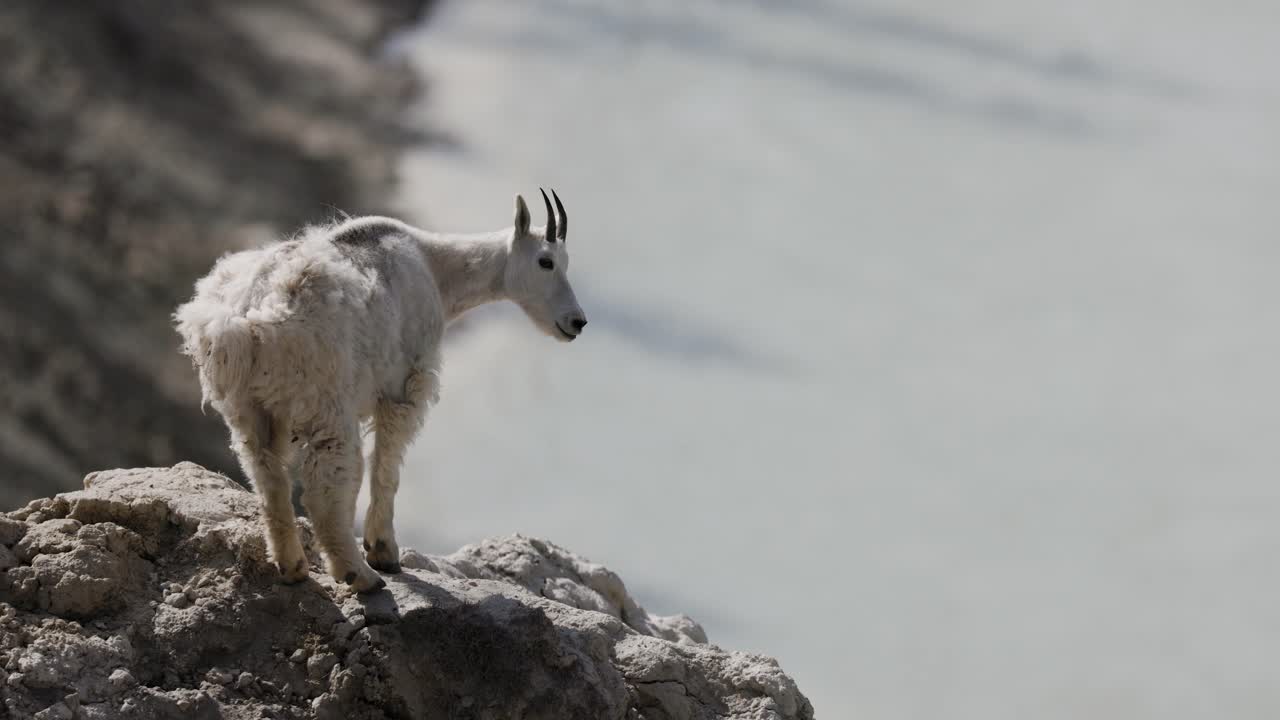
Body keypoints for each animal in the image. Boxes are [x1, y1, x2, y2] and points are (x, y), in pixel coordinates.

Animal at [174, 191, 586, 592]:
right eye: (546, 261)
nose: (577, 322)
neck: (436, 269)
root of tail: (244, 322)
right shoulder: (406, 385)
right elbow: (386, 466)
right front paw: (383, 550)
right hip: (325, 404)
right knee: (324, 487)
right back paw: (359, 575)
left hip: (247, 409)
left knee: (267, 477)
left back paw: (292, 567)